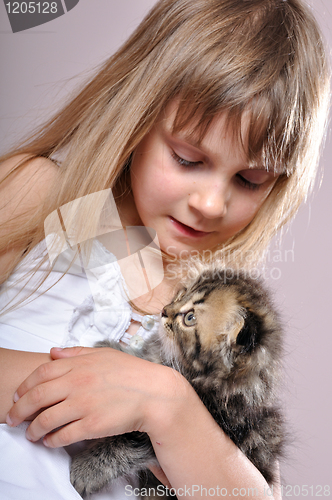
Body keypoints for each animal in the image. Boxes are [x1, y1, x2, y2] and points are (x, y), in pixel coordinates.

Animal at [70, 268, 286, 498]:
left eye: (190, 318)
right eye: (181, 294)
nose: (164, 310)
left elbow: (125, 444)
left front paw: (87, 469)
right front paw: (111, 349)